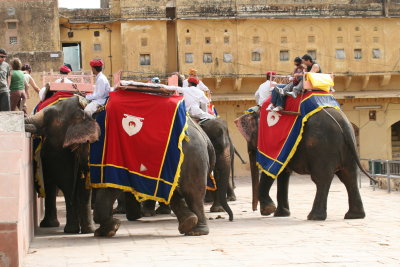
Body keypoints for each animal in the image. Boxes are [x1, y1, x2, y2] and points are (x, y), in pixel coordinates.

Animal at [236, 107, 374, 222]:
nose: (255, 209)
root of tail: (344, 126)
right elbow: (283, 173)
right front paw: (280, 214)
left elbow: (271, 169)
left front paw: (269, 210)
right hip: (348, 149)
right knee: (349, 177)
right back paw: (354, 216)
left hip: (322, 149)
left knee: (322, 179)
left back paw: (314, 217)